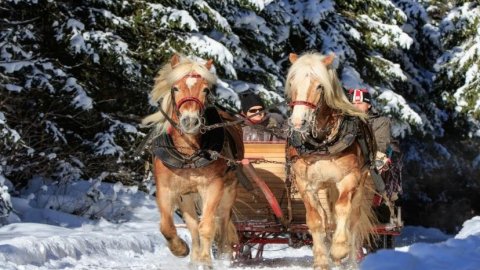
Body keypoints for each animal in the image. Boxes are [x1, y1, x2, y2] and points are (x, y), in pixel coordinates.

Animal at [141, 54, 242, 268]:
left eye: (205, 89)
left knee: (222, 222)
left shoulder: (213, 187)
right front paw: (182, 250)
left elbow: (208, 226)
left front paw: (206, 261)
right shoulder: (166, 189)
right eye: (175, 88)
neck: (187, 154)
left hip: (229, 191)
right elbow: (167, 226)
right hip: (186, 196)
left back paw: (224, 256)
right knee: (193, 226)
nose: (190, 121)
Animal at [284, 51, 376, 268]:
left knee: (352, 218)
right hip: (326, 186)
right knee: (328, 218)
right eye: (292, 82)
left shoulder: (348, 178)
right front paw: (321, 260)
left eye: (319, 86)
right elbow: (316, 220)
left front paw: (338, 250)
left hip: (359, 183)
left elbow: (343, 210)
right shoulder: (305, 184)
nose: (298, 122)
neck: (321, 143)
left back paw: (350, 260)